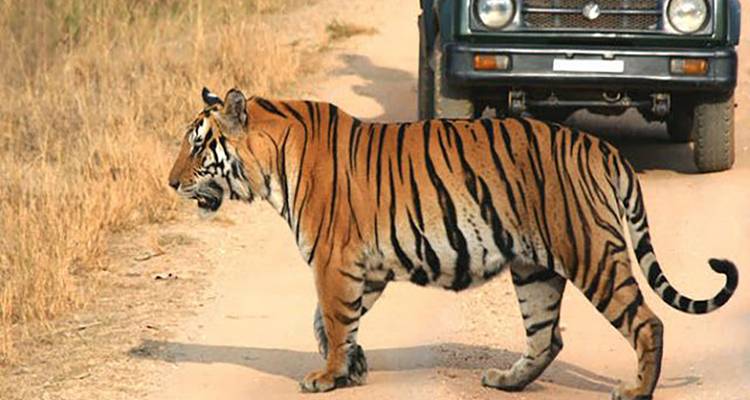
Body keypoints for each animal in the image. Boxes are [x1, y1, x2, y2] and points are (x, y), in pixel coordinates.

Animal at [167, 87, 738, 399]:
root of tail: (601, 146)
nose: (170, 183)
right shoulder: (366, 267)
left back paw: (637, 389)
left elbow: (331, 320)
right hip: (534, 268)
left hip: (590, 251)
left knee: (647, 322)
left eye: (197, 147)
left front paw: (327, 376)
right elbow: (330, 323)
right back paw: (507, 381)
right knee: (547, 337)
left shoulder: (334, 260)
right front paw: (353, 369)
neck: (270, 162)